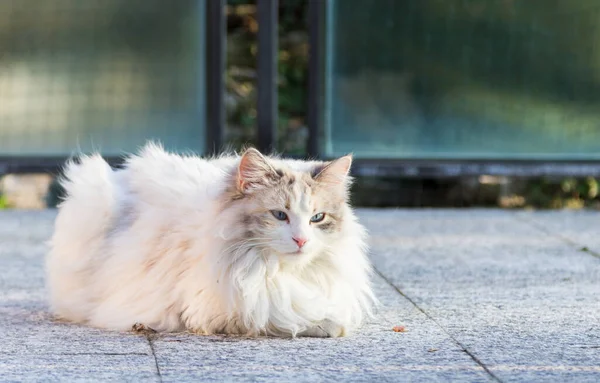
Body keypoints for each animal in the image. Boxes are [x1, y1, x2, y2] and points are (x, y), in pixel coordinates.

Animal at [45, 144, 376, 340]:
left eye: (317, 218)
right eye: (280, 215)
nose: (301, 240)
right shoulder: (226, 313)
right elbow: (291, 319)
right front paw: (327, 324)